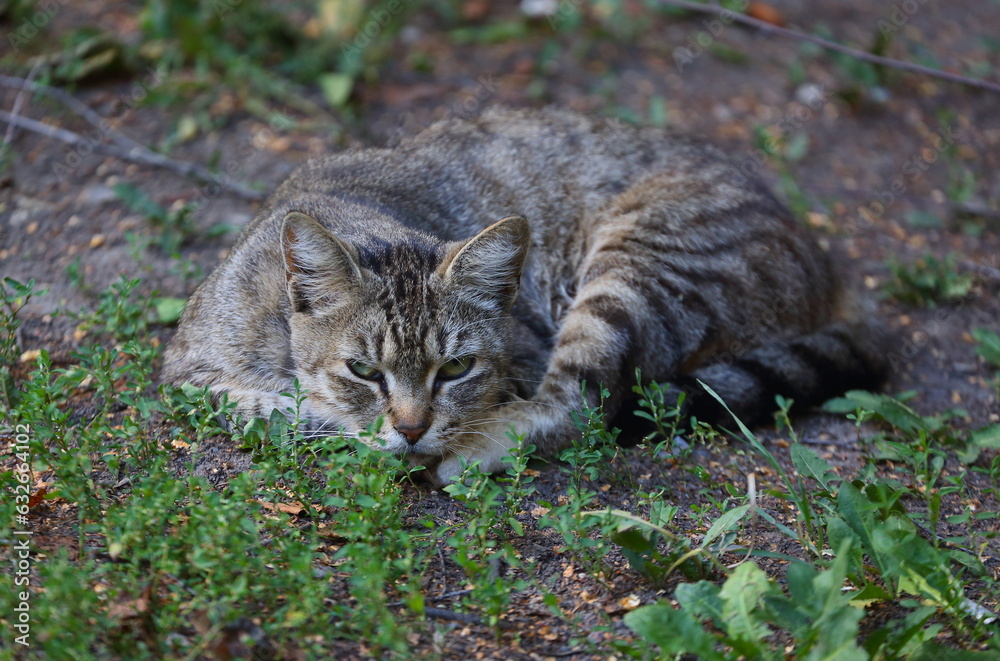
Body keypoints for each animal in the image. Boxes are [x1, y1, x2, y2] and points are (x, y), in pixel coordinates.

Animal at [162, 107, 892, 484]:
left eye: (456, 367)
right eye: (364, 370)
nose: (412, 427)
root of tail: (826, 266)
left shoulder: (528, 350)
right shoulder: (186, 370)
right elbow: (264, 405)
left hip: (638, 269)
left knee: (583, 403)